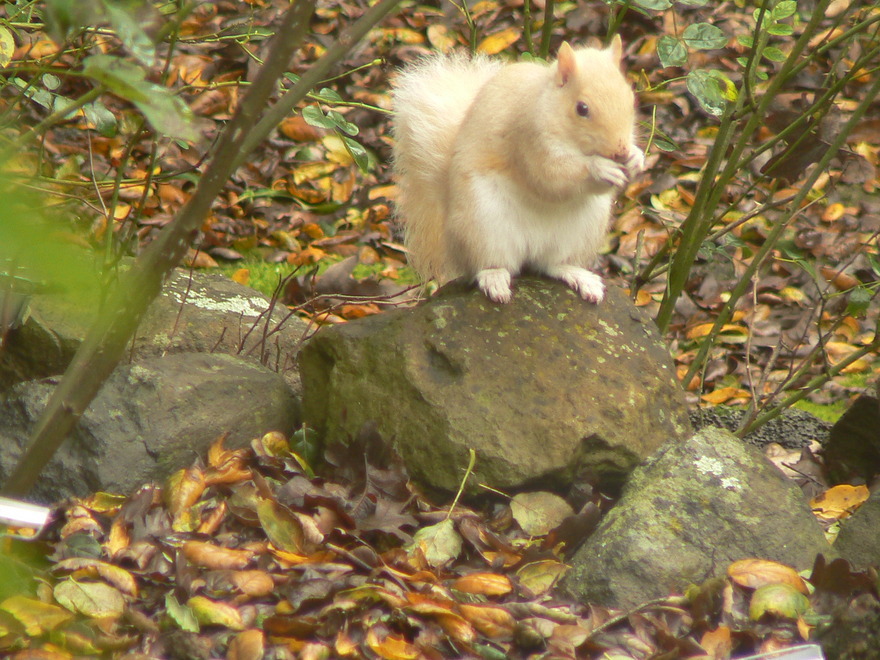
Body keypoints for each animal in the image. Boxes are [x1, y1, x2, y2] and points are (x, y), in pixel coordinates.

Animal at [391, 36, 644, 304]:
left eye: (631, 99)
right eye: (582, 108)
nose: (620, 151)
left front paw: (637, 158)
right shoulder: (527, 137)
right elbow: (549, 176)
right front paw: (600, 167)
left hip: (581, 233)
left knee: (551, 265)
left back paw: (580, 277)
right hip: (481, 225)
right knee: (487, 264)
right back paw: (495, 279)